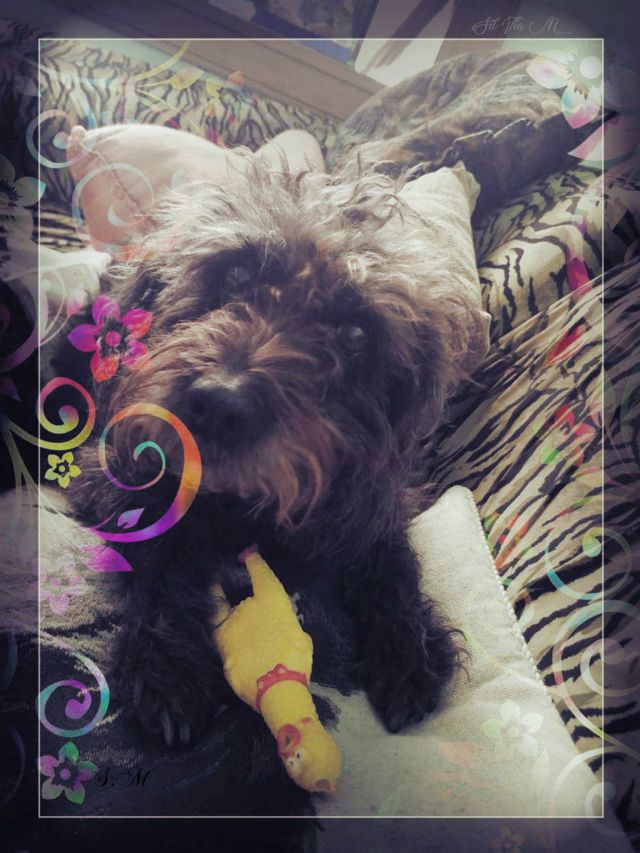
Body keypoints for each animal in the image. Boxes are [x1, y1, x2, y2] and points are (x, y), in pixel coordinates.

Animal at [61, 139, 483, 747]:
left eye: (355, 334)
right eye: (235, 273)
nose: (217, 404)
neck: (239, 502)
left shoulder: (375, 502)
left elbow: (391, 555)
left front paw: (408, 647)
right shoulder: (114, 468)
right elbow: (163, 546)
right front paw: (166, 666)